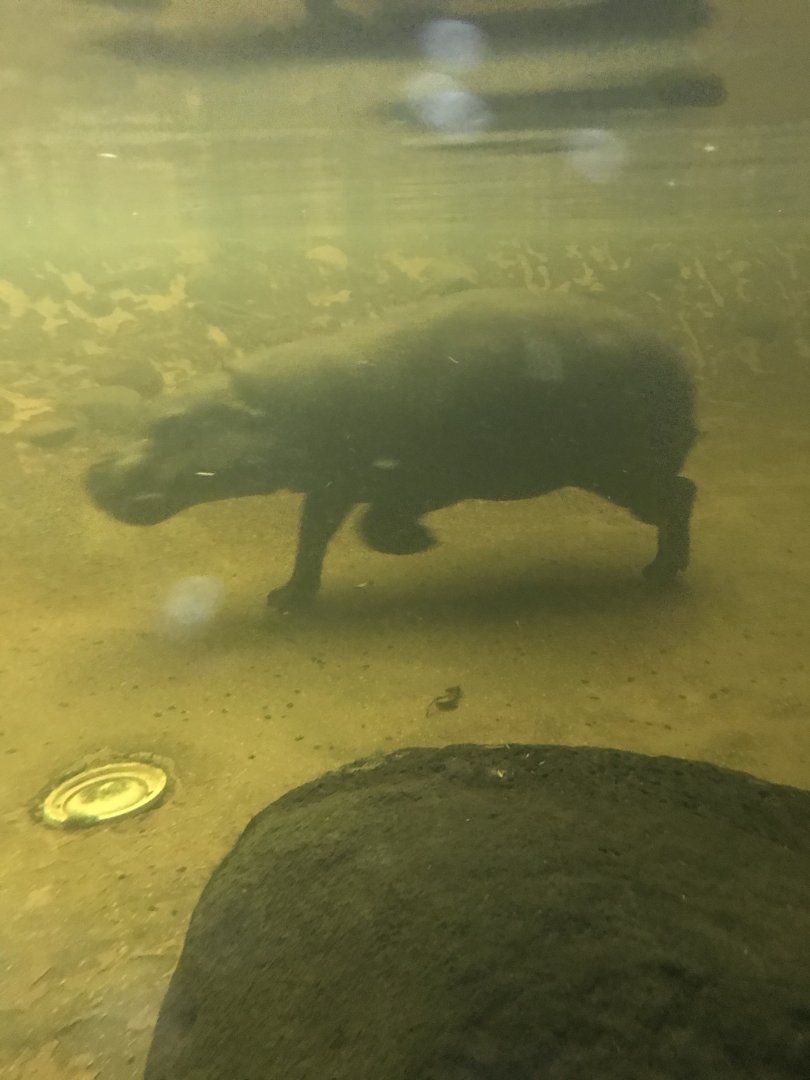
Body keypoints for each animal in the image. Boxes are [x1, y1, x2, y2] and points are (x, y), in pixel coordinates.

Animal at [85, 289, 697, 611]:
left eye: (168, 423)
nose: (92, 472)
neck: (273, 410)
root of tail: (679, 360)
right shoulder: (331, 483)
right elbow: (312, 536)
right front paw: (287, 597)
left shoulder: (427, 477)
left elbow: (373, 524)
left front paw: (421, 542)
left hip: (617, 468)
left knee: (680, 495)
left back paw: (658, 573)